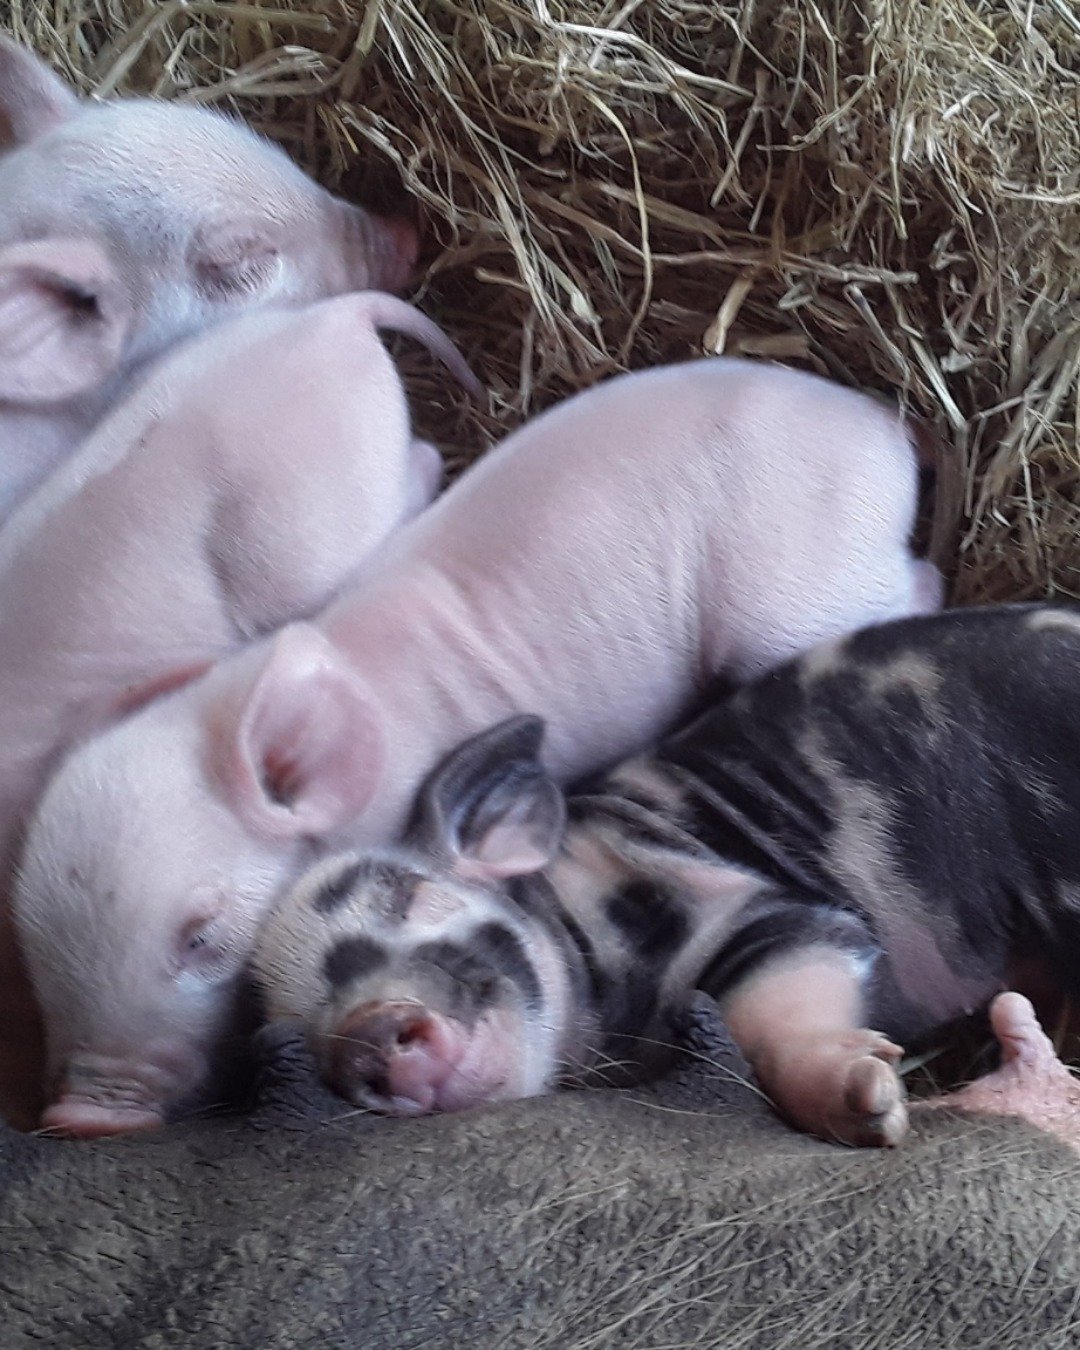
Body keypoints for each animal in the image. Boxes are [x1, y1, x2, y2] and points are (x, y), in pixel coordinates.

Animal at [0, 289, 478, 1130]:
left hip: (326, 523)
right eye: (35, 951)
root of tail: (333, 318)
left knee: (420, 463)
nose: (78, 1117)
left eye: (200, 942)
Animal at [15, 354, 940, 1135]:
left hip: (803, 599)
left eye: (200, 937)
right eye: (34, 952)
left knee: (916, 583)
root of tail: (881, 428)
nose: (78, 1119)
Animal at [254, 603, 1080, 1146]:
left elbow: (772, 1011)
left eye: (415, 898)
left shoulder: (757, 909)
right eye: (297, 1030)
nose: (368, 1034)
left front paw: (872, 1100)